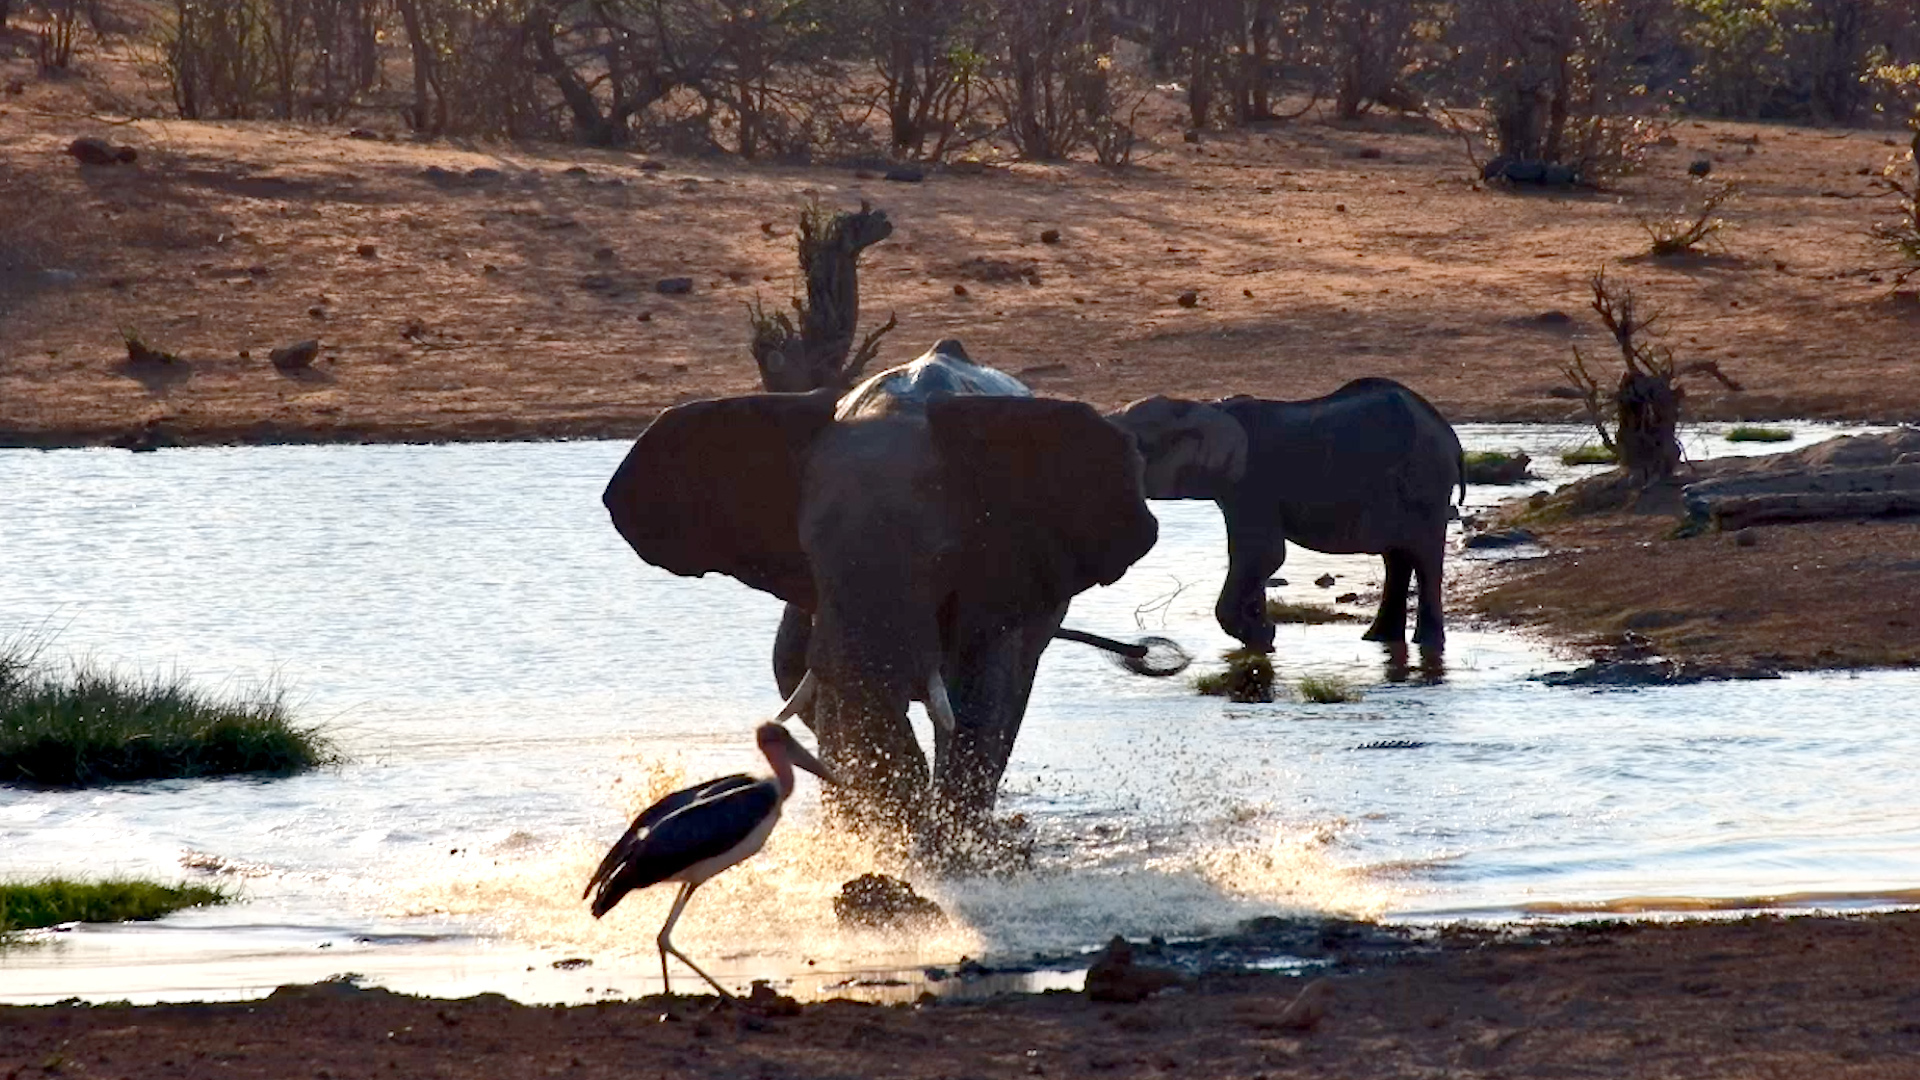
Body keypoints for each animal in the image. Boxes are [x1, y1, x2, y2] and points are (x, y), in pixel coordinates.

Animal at [603, 340, 1159, 836]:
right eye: (809, 555)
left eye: (942, 558)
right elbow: (838, 702)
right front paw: (879, 835)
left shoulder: (998, 568)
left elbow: (981, 700)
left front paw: (946, 849)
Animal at [1107, 377, 1464, 654]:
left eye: (1135, 445)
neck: (1203, 407)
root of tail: (1448, 433)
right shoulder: (1236, 490)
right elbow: (1255, 557)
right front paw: (1261, 638)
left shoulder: (1251, 481)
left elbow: (1262, 554)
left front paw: (1260, 639)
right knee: (1398, 559)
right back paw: (1377, 639)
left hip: (1425, 482)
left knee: (1424, 559)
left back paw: (1426, 645)